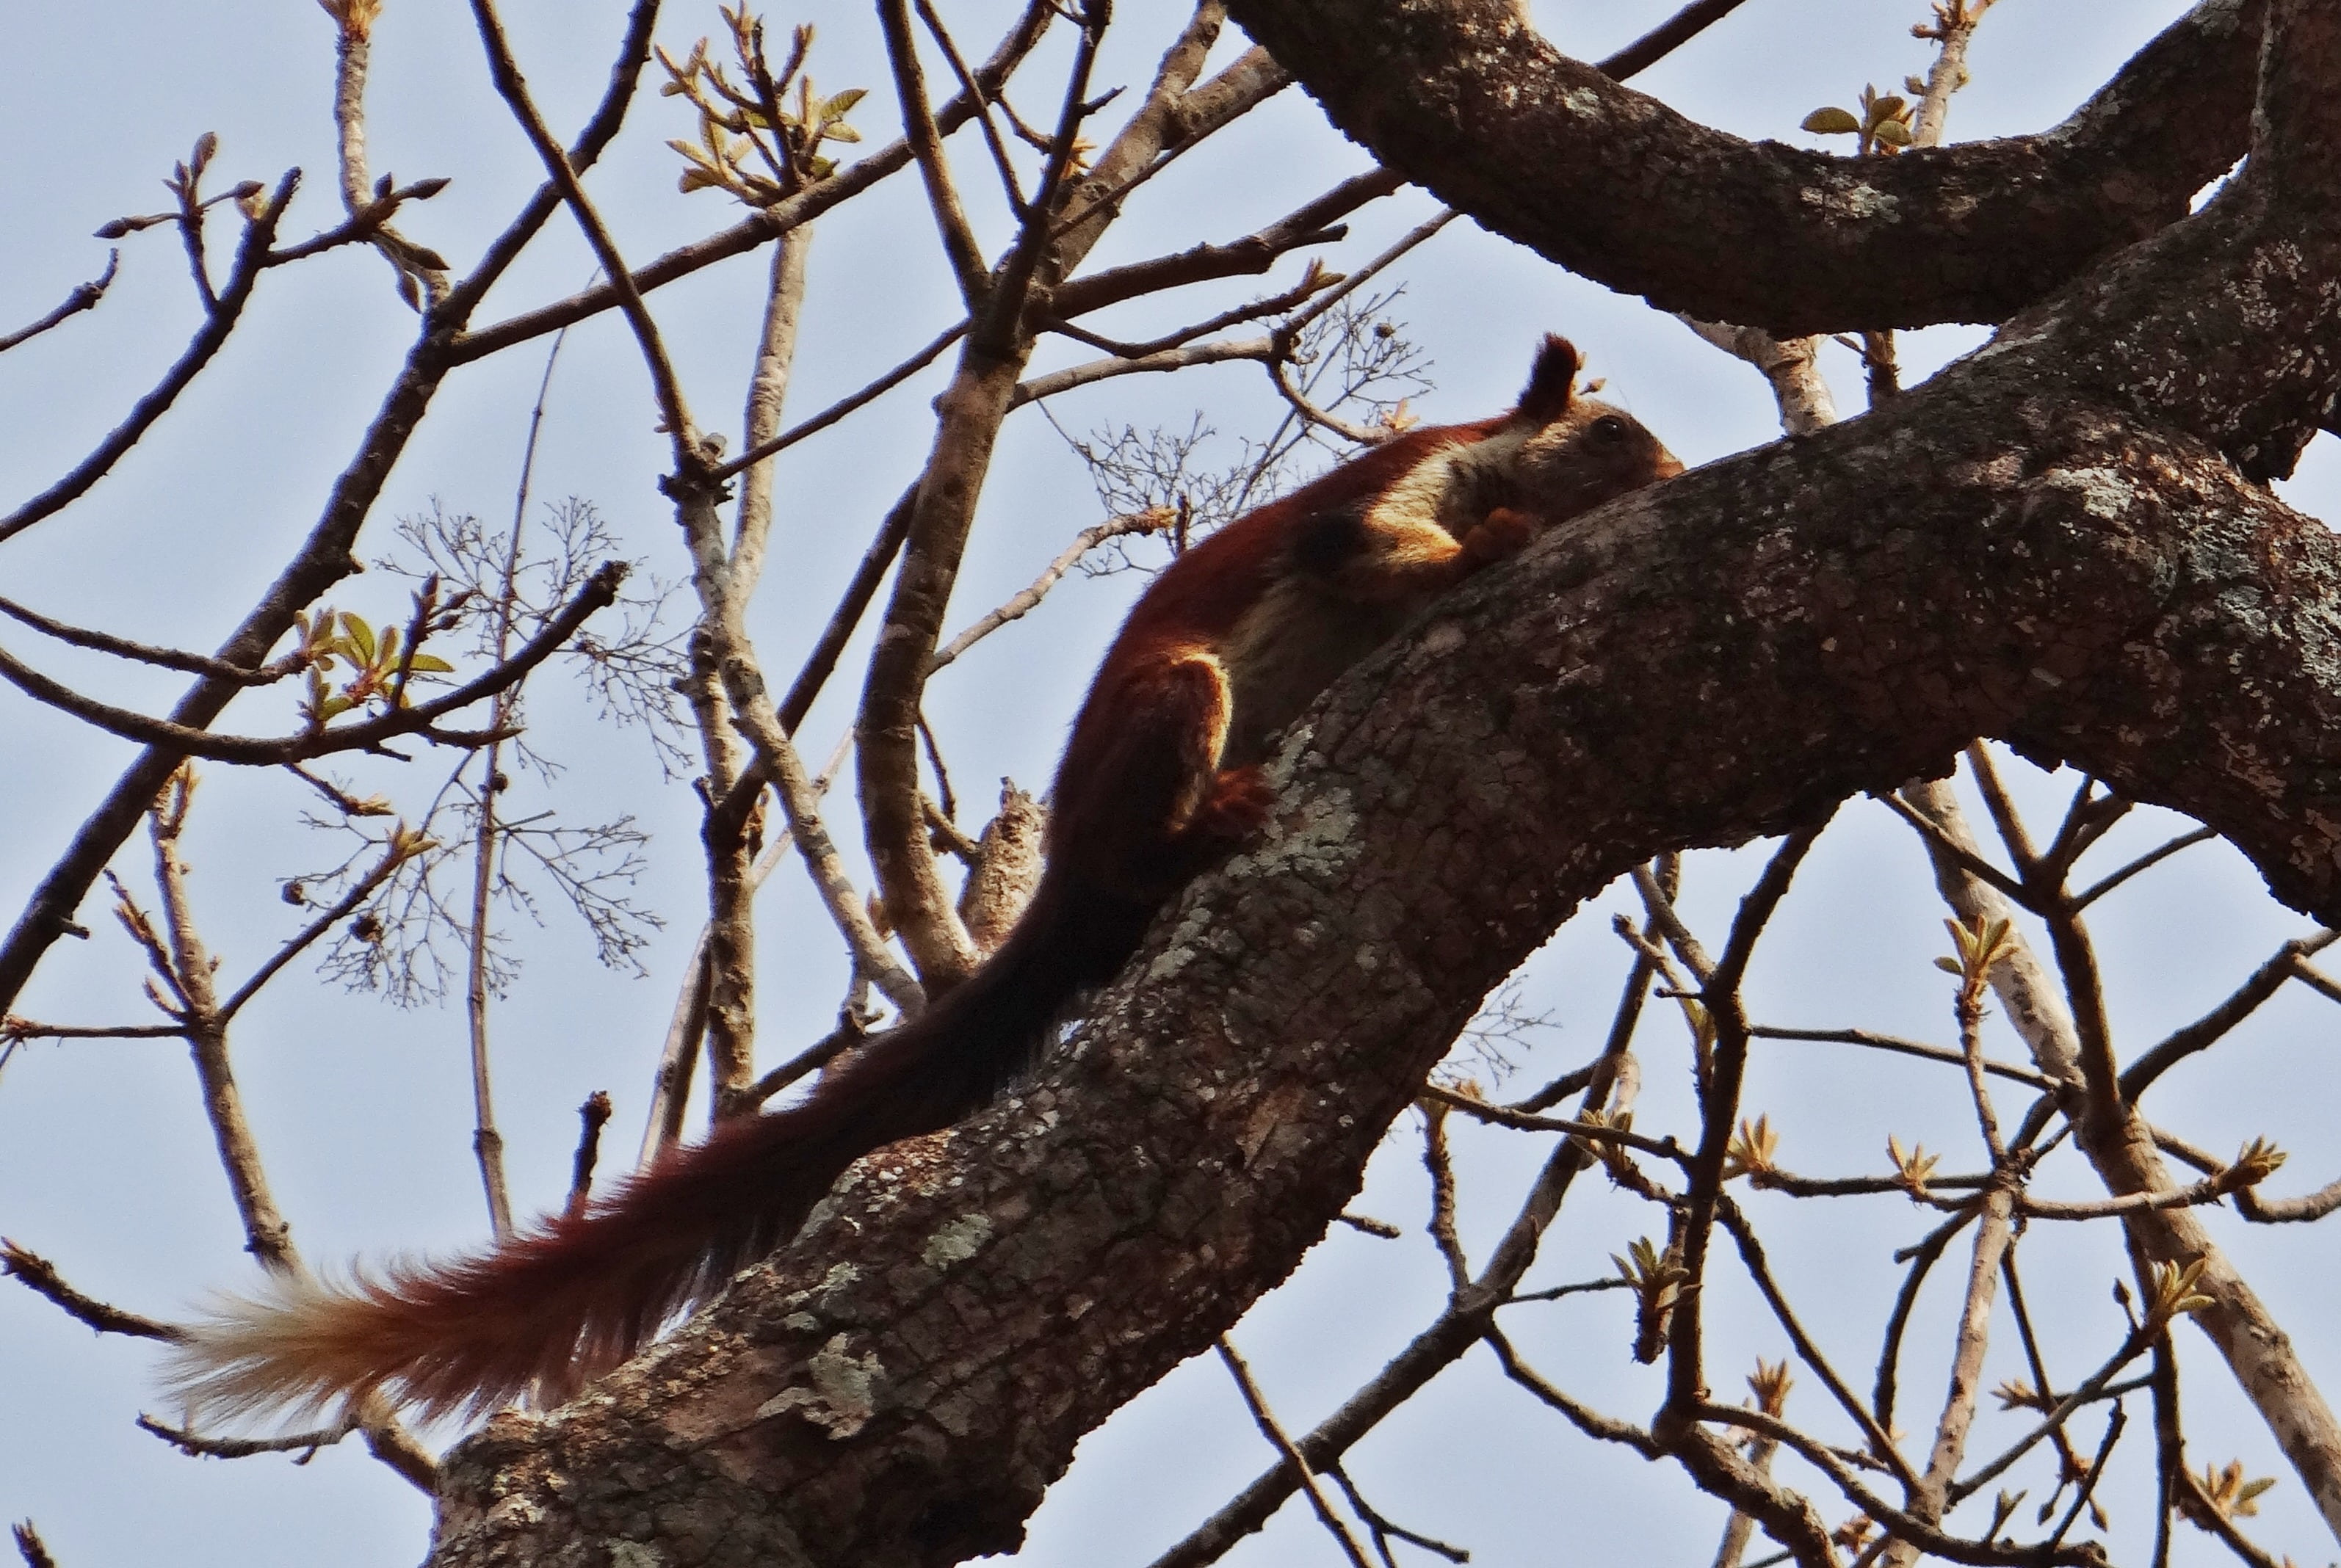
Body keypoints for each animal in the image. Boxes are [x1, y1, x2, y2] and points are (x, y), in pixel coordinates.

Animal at [164, 334, 1681, 1425]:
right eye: (1610, 430)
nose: (1669, 470)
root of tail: (1063, 883)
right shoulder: (1383, 496)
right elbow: (1374, 550)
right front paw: (1495, 547)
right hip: (1170, 705)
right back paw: (1201, 826)